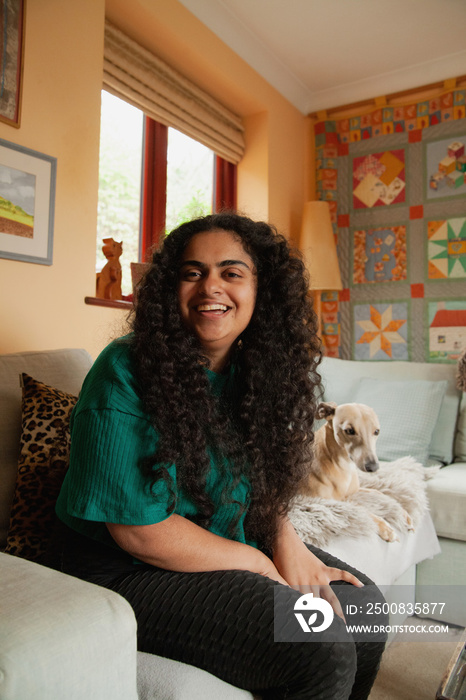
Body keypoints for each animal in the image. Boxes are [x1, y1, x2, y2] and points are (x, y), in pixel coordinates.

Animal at [298, 400, 412, 540]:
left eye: (377, 431)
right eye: (349, 431)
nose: (373, 467)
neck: (343, 465)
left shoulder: (354, 490)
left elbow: (378, 492)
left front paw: (402, 513)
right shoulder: (324, 501)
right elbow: (361, 511)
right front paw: (385, 527)